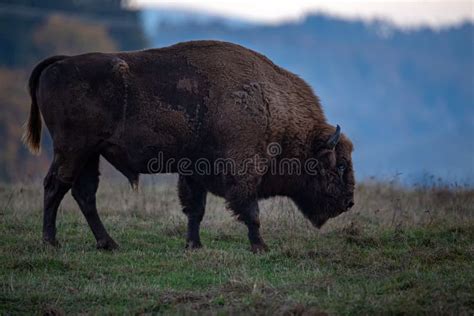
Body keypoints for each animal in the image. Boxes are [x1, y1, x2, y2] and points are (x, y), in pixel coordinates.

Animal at [23, 40, 356, 252]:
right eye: (339, 165)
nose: (349, 202)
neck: (272, 108)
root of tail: (61, 62)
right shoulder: (242, 173)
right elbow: (250, 212)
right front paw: (261, 247)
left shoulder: (195, 172)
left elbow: (195, 210)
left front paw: (193, 245)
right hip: (72, 150)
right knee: (55, 186)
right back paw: (51, 242)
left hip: (90, 154)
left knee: (84, 194)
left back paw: (108, 244)